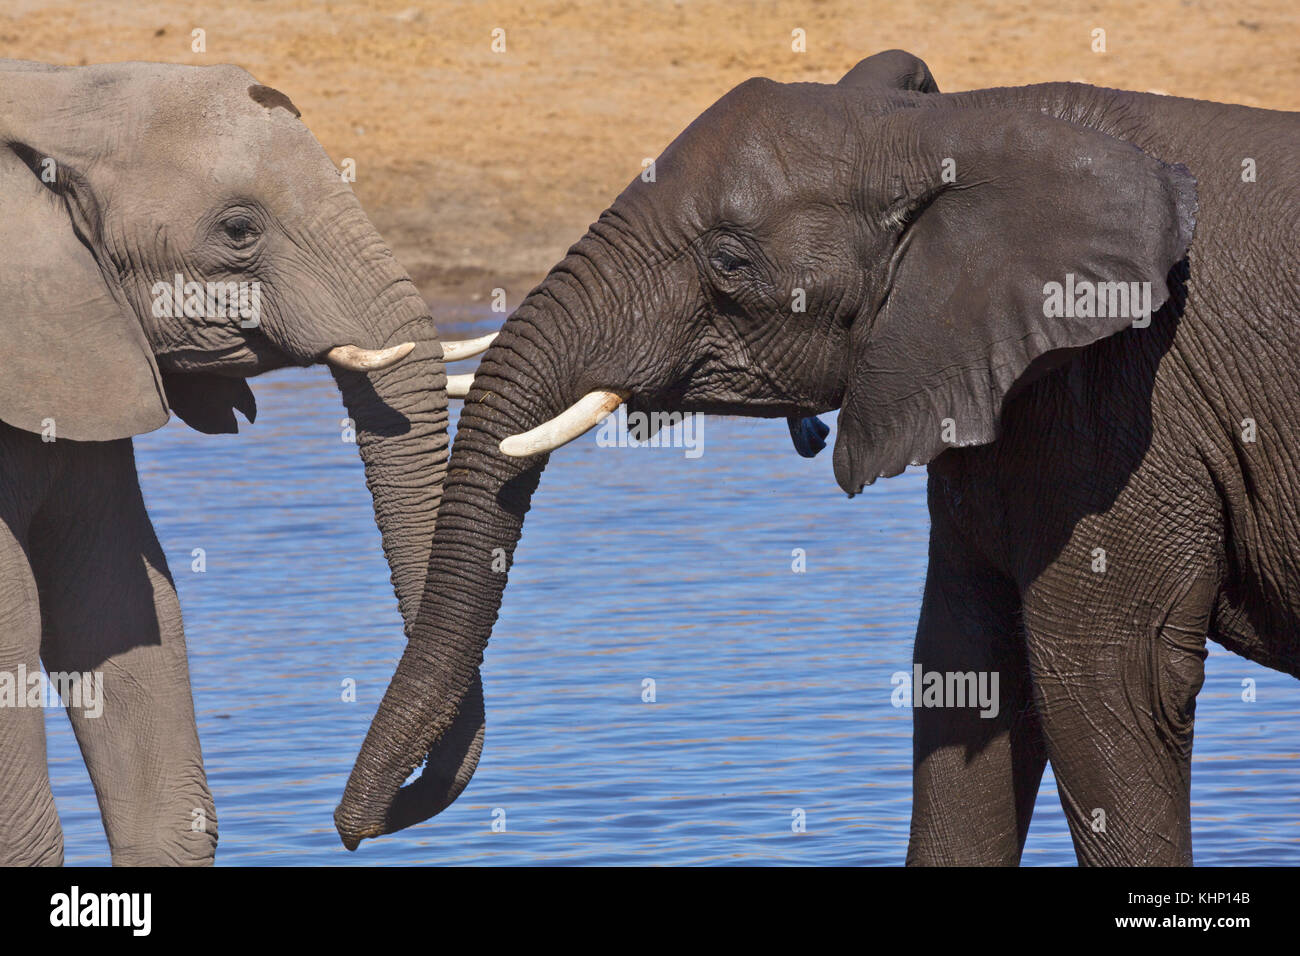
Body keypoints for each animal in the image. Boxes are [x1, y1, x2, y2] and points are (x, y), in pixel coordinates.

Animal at [333, 49, 1299, 865]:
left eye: (727, 260)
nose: (351, 829)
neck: (966, 129)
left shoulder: (1133, 407)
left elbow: (1110, 683)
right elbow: (964, 675)